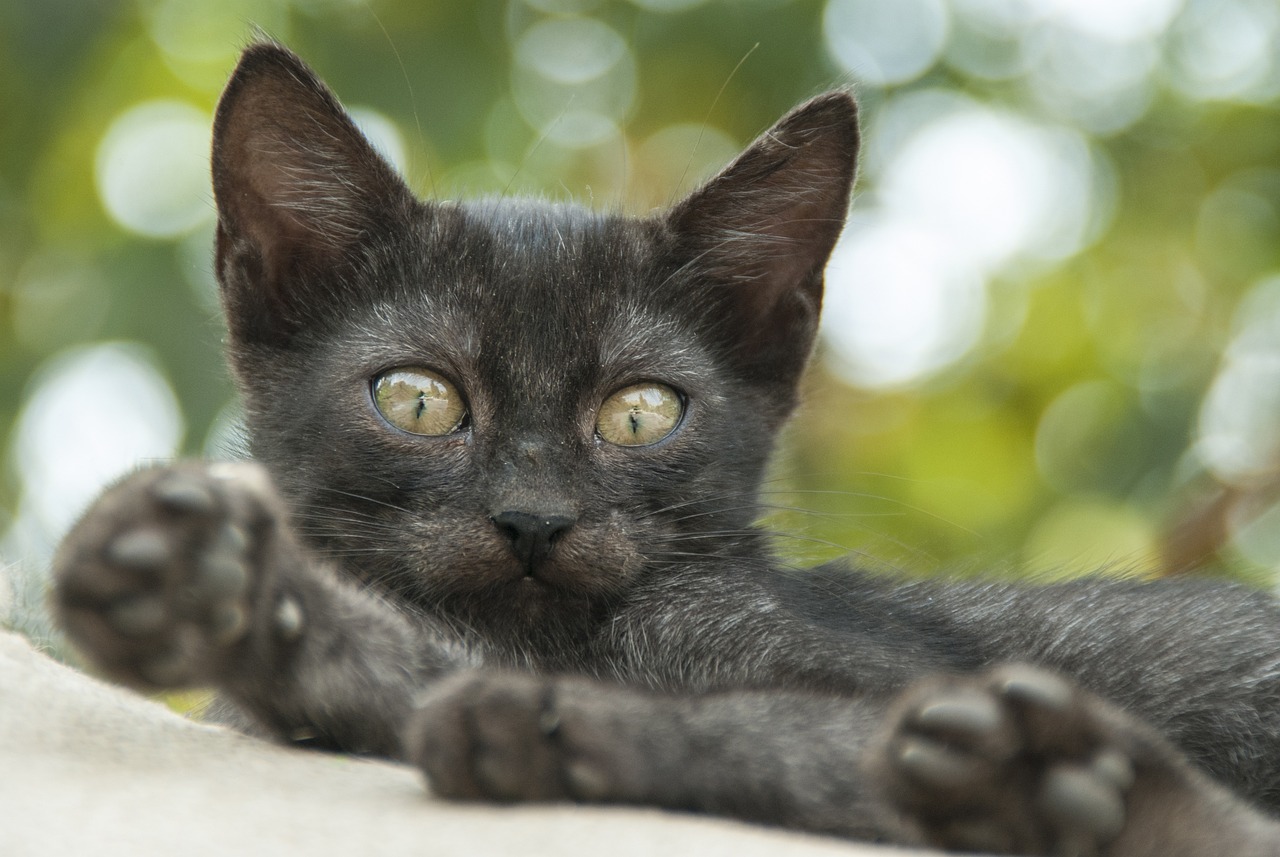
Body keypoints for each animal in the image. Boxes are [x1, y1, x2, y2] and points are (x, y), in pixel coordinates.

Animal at [55, 43, 1280, 854]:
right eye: (417, 400)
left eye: (640, 413)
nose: (533, 517)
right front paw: (227, 594)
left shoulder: (879, 681)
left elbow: (770, 722)